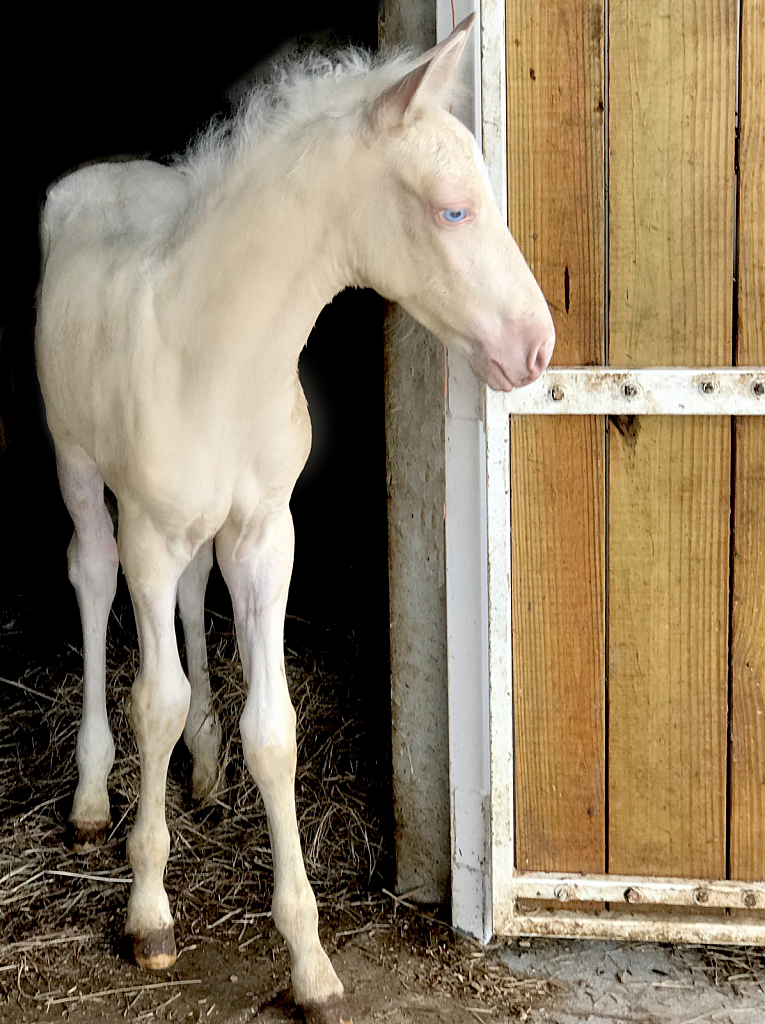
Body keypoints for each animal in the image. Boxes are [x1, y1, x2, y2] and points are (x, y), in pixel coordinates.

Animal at [35, 16, 553, 1024]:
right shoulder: (150, 534)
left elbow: (272, 730)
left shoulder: (267, 536)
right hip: (79, 465)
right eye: (452, 211)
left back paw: (203, 770)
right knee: (90, 574)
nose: (535, 347)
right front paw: (148, 915)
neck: (215, 354)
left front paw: (309, 961)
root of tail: (104, 171)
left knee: (193, 599)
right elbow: (153, 699)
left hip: (202, 531)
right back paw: (88, 798)